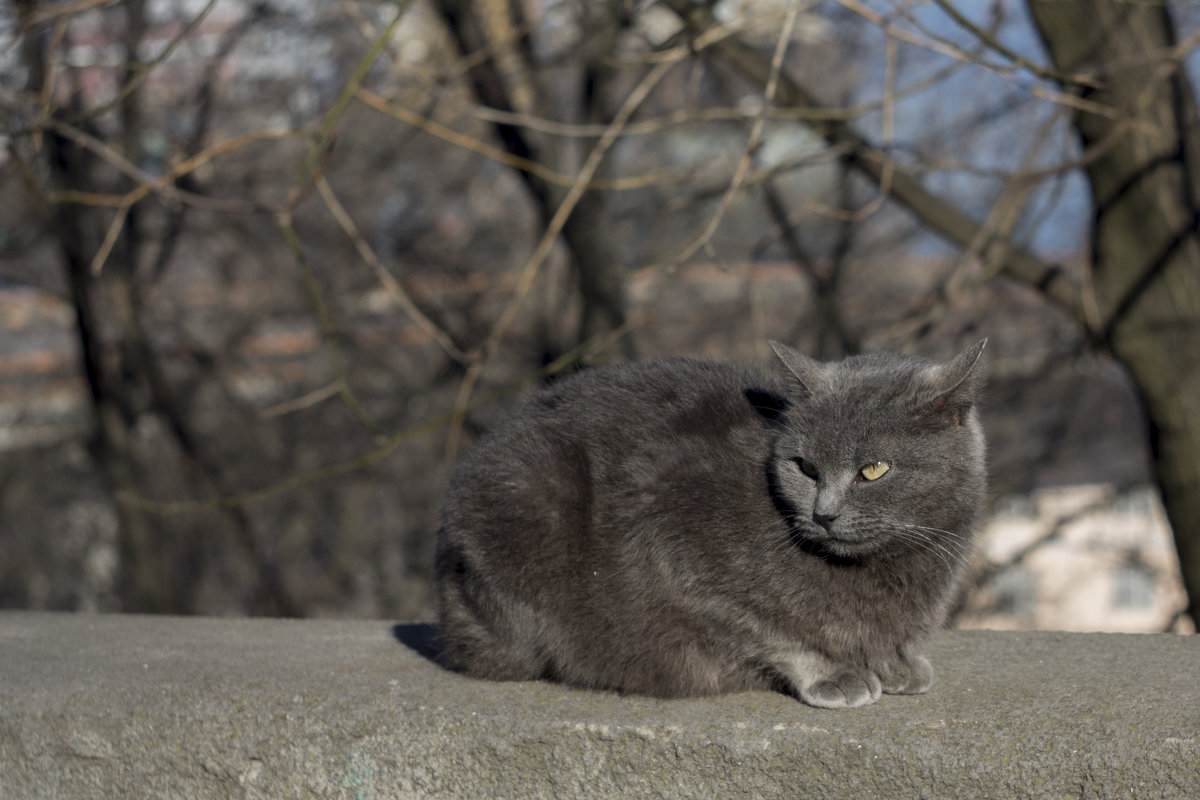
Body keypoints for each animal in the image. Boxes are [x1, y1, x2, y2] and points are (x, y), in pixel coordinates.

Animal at [436, 340, 988, 710]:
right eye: (805, 468)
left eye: (873, 469)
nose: (823, 513)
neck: (888, 568)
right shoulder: (677, 547)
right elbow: (770, 630)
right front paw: (835, 673)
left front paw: (898, 663)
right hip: (526, 501)